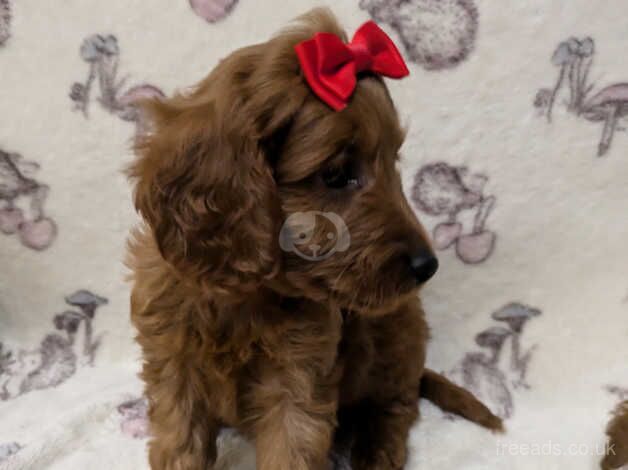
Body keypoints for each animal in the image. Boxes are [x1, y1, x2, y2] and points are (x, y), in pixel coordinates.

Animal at [126, 7, 500, 470]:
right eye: (336, 174)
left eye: (393, 162)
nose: (427, 266)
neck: (241, 295)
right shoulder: (174, 370)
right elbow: (181, 444)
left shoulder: (297, 380)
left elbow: (292, 447)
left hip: (394, 329)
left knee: (398, 400)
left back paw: (377, 451)